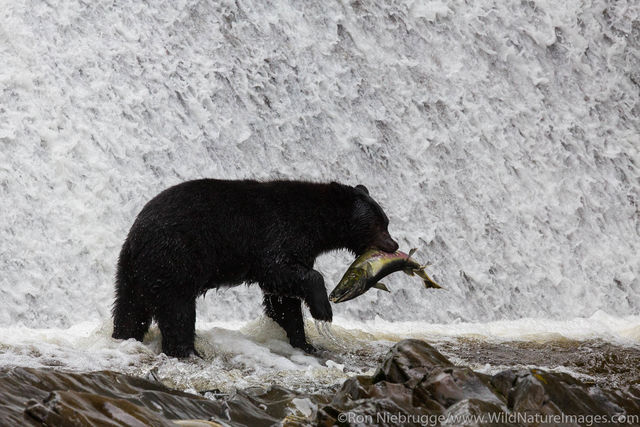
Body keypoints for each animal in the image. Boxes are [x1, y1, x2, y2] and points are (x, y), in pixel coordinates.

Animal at [112, 181, 398, 358]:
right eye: (379, 224)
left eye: (386, 221)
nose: (394, 245)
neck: (315, 222)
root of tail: (137, 236)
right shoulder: (279, 233)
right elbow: (281, 271)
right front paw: (323, 310)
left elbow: (282, 300)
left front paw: (304, 342)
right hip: (174, 260)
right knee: (177, 310)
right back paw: (188, 351)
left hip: (132, 273)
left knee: (129, 310)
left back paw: (124, 337)